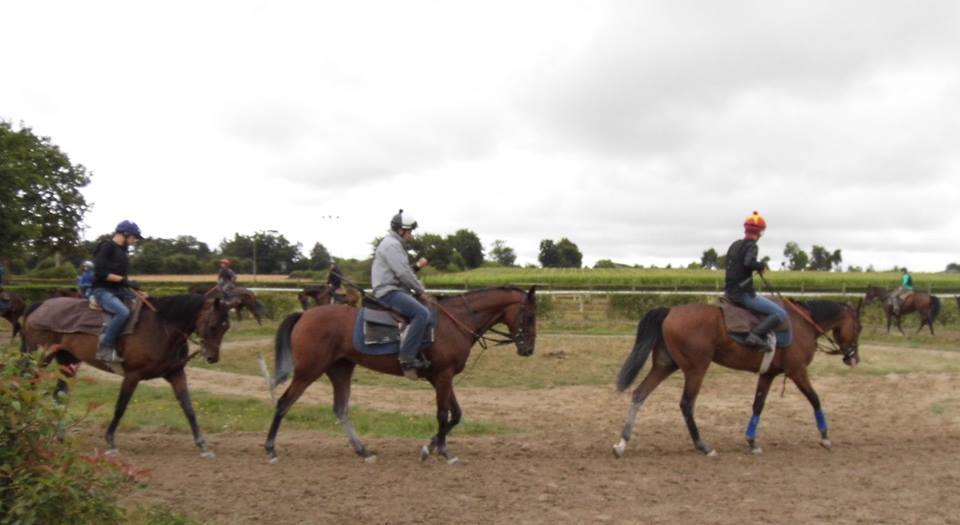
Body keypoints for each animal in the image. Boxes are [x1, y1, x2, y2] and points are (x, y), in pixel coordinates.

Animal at [266, 286, 536, 462]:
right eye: (530, 316)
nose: (529, 349)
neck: (456, 322)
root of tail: (305, 314)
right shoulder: (443, 376)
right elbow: (443, 414)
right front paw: (440, 451)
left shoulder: (443, 378)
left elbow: (456, 414)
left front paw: (433, 447)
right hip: (308, 372)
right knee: (283, 403)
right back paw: (270, 449)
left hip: (340, 369)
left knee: (340, 409)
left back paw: (363, 451)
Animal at [616, 296, 864, 456]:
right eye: (859, 327)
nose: (854, 359)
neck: (804, 323)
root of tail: (670, 311)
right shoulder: (797, 371)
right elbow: (815, 399)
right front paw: (825, 437)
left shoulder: (768, 374)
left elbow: (758, 405)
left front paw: (752, 442)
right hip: (696, 368)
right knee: (686, 404)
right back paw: (703, 446)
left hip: (666, 365)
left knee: (639, 394)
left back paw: (622, 443)